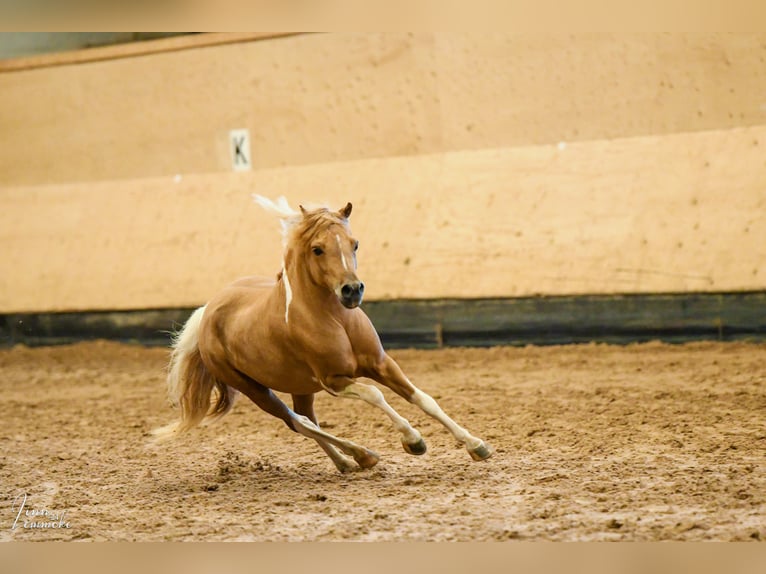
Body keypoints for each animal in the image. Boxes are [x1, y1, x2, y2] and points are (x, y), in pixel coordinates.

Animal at [153, 196, 496, 474]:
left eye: (355, 243)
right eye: (317, 249)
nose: (352, 290)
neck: (335, 319)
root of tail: (208, 311)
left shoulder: (382, 364)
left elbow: (423, 399)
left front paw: (476, 445)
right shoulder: (334, 380)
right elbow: (375, 394)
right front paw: (413, 441)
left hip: (301, 388)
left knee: (306, 420)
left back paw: (348, 461)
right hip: (253, 389)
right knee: (298, 422)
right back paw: (362, 454)